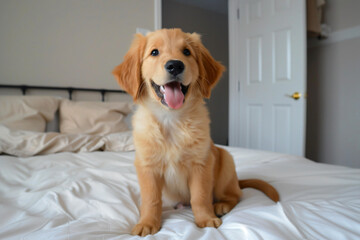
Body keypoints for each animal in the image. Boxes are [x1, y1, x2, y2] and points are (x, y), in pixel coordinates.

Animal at [112, 28, 278, 236]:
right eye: (154, 52)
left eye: (187, 52)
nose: (175, 65)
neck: (171, 119)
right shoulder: (147, 166)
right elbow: (151, 199)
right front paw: (147, 223)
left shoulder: (202, 163)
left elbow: (200, 196)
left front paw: (205, 219)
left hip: (226, 160)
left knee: (235, 195)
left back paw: (221, 205)